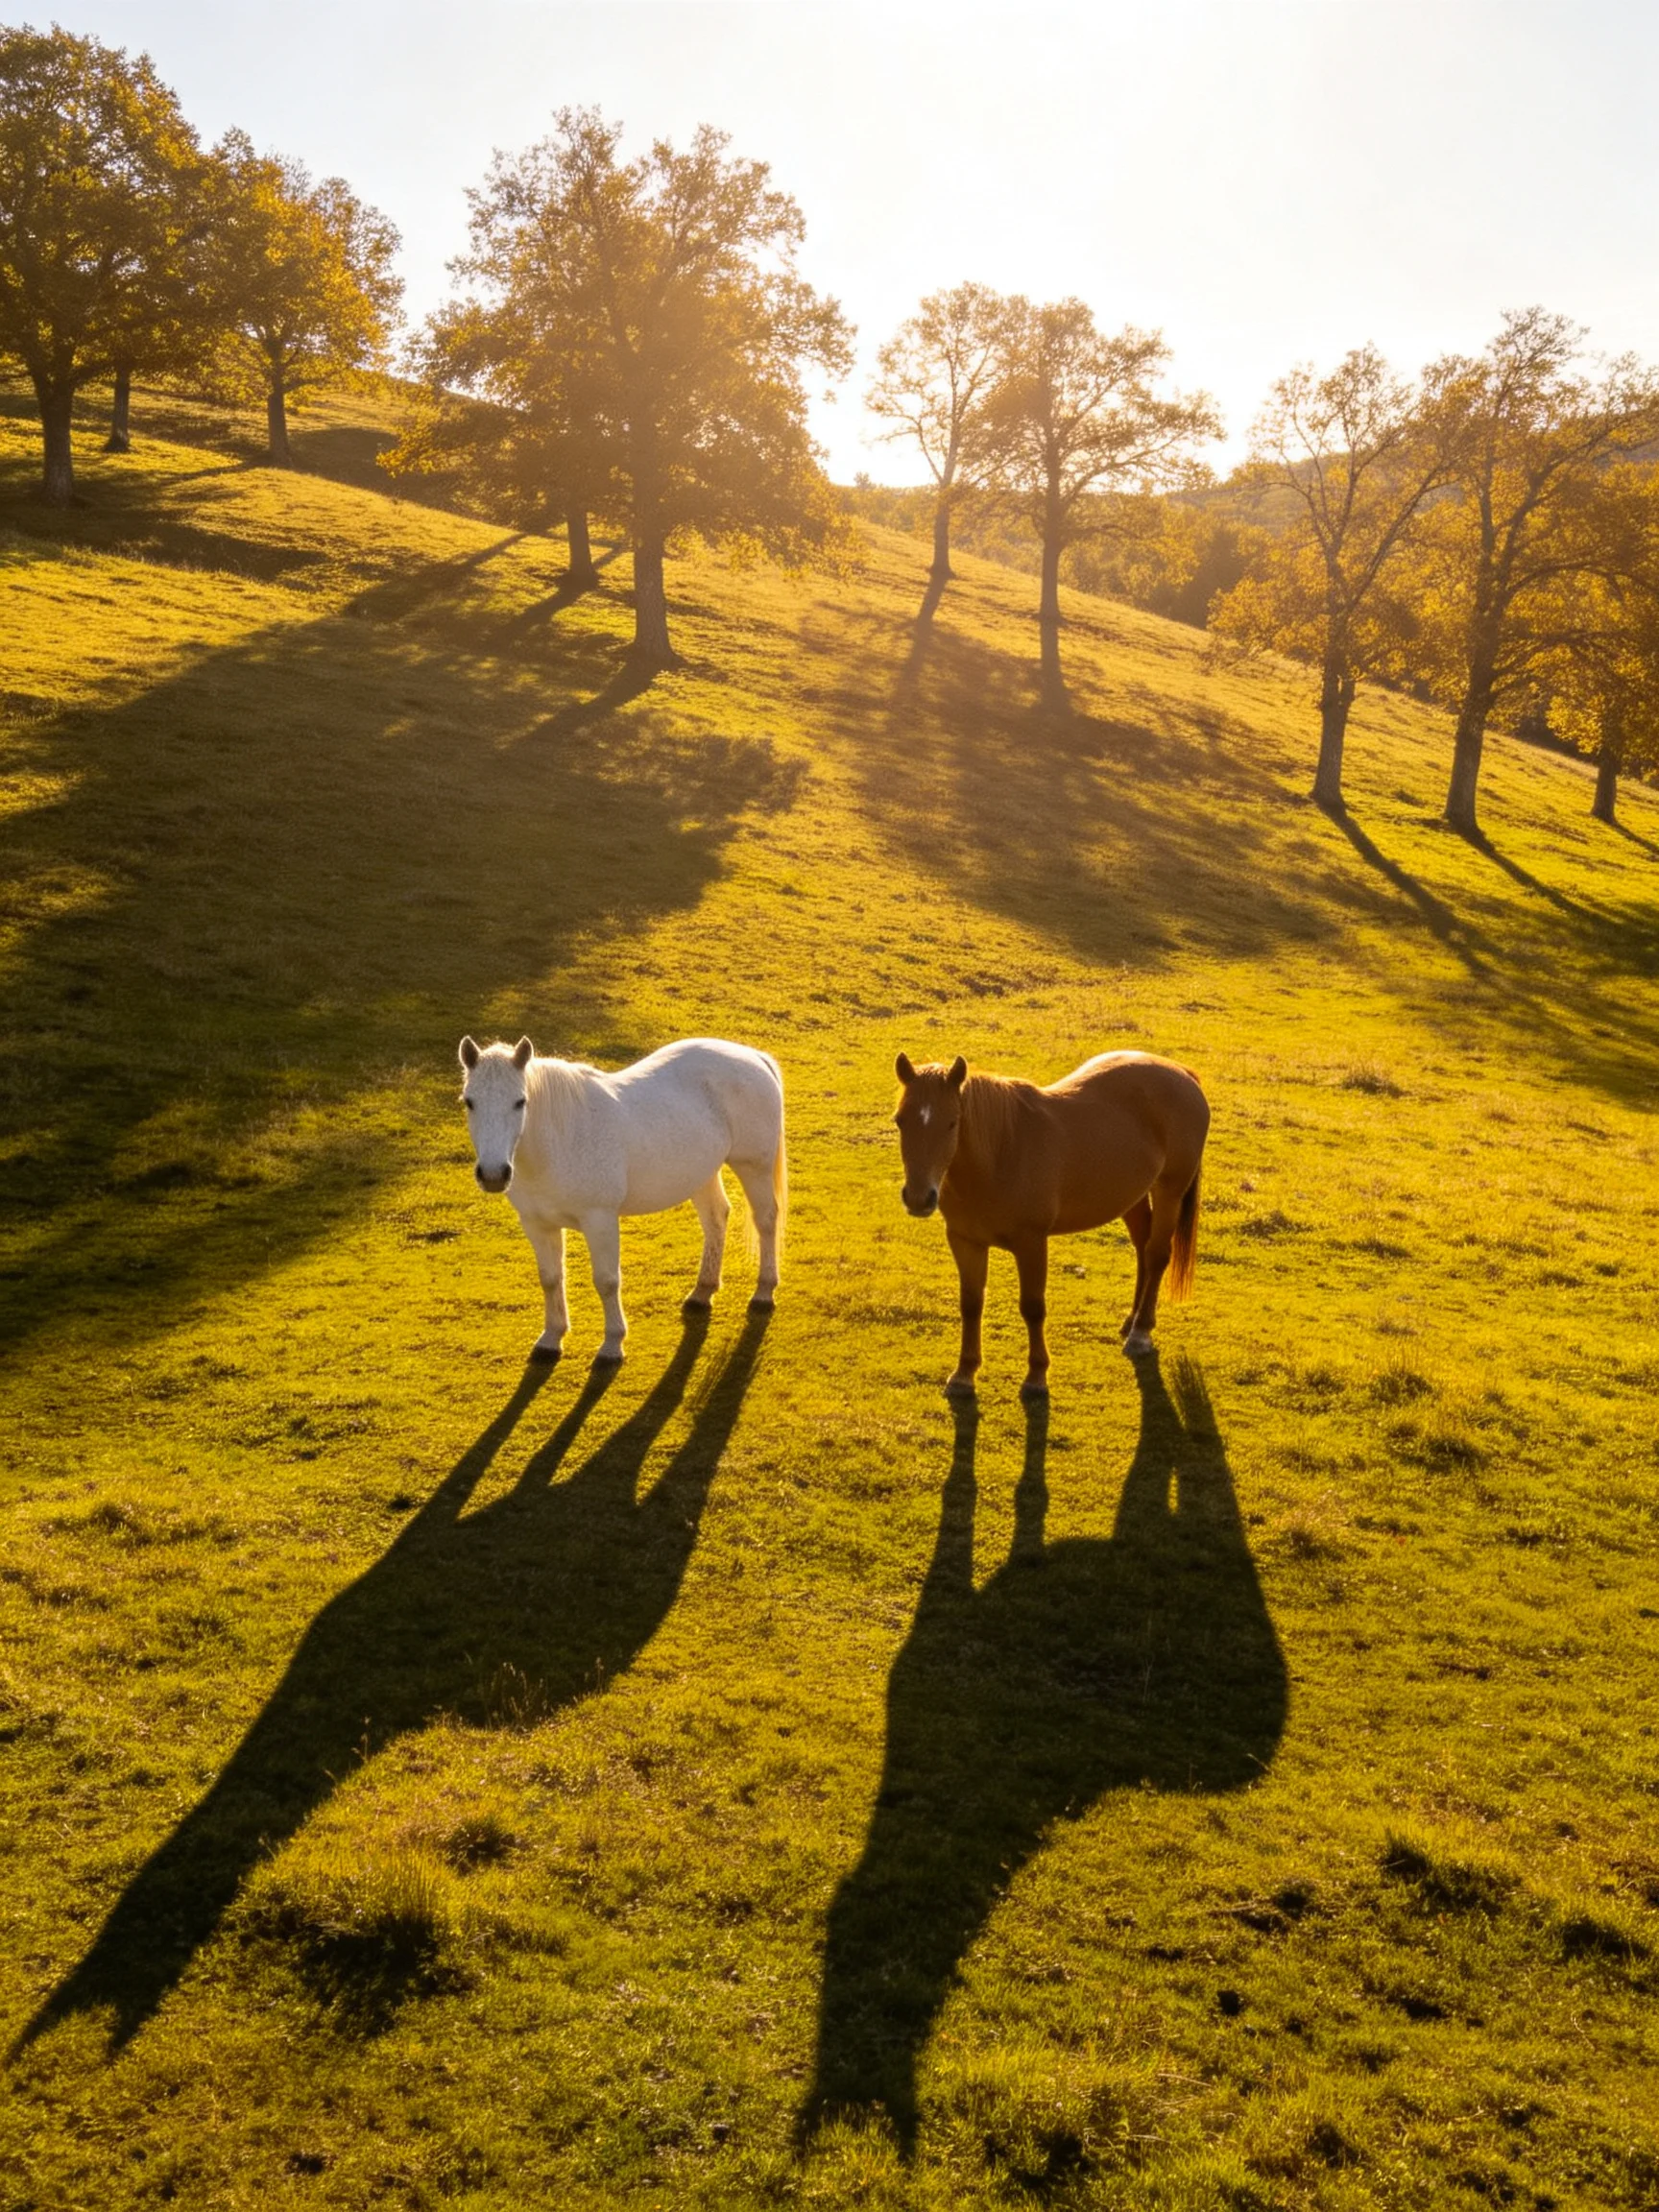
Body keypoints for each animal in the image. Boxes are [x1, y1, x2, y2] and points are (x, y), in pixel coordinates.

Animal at [458, 1035, 786, 1363]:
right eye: (469, 1102)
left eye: (520, 1102)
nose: (493, 1174)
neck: (559, 1143)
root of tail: (752, 1056)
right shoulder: (537, 1225)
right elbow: (550, 1278)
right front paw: (551, 1338)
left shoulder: (600, 1220)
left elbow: (606, 1280)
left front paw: (612, 1344)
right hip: (702, 1173)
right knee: (716, 1218)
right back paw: (702, 1292)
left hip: (753, 1167)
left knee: (766, 1219)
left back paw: (764, 1291)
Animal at [892, 1048, 1208, 1394]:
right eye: (900, 1120)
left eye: (952, 1123)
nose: (919, 1198)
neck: (1002, 1153)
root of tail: (1181, 1072)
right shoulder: (965, 1241)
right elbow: (971, 1304)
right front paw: (964, 1373)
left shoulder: (1031, 1243)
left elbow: (1032, 1307)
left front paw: (1036, 1376)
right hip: (1132, 1195)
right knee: (1142, 1247)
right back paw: (1131, 1321)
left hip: (1169, 1191)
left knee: (1156, 1255)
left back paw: (1141, 1333)